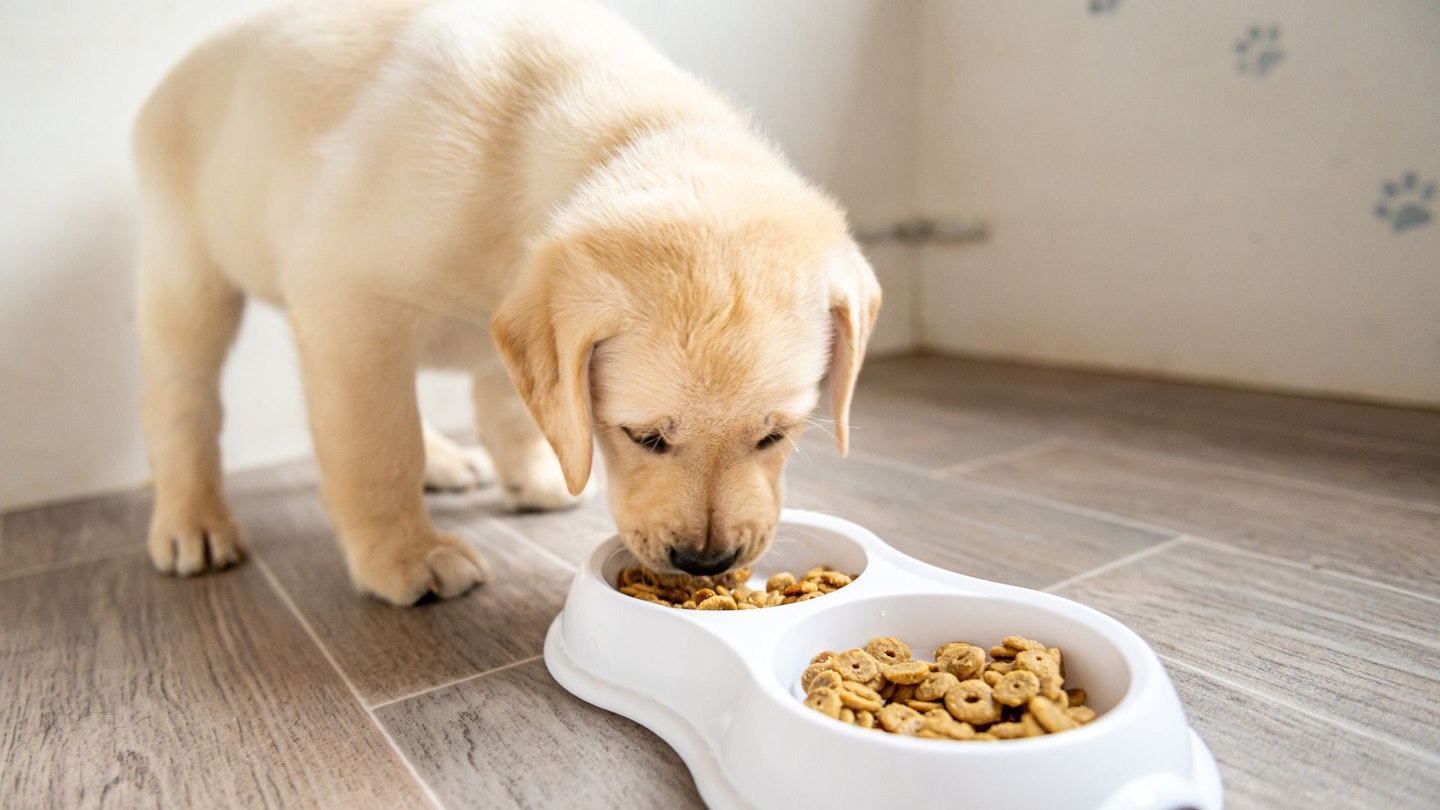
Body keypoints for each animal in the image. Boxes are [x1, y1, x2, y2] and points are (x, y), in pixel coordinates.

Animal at [135, 0, 875, 602]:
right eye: (645, 437)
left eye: (775, 435)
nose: (705, 561)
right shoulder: (347, 302)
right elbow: (377, 445)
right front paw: (405, 555)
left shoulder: (516, 323)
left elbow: (515, 404)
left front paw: (531, 473)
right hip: (188, 273)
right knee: (184, 400)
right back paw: (194, 521)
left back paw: (446, 461)